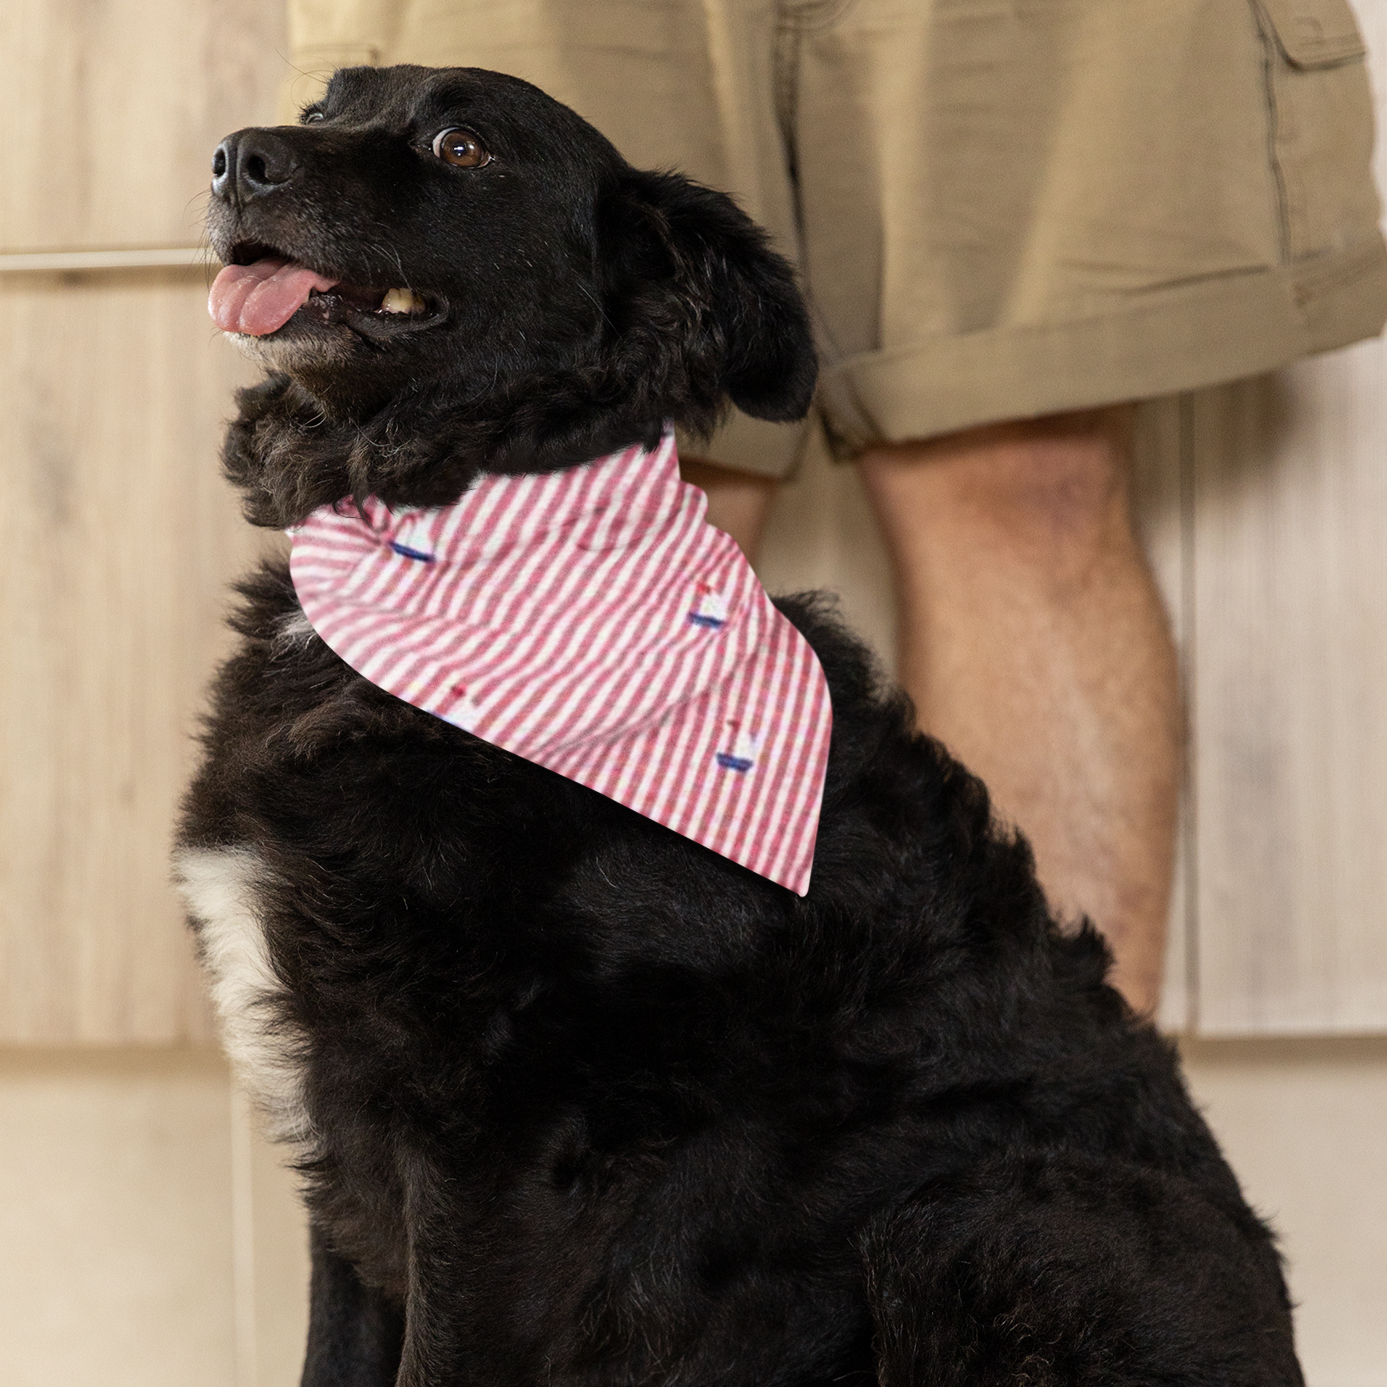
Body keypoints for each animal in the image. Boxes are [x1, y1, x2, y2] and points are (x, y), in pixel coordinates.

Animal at [176, 65, 1298, 1387]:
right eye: (325, 105)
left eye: (461, 146)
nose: (234, 158)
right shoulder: (345, 1125)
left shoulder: (493, 1145)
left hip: (981, 1216)